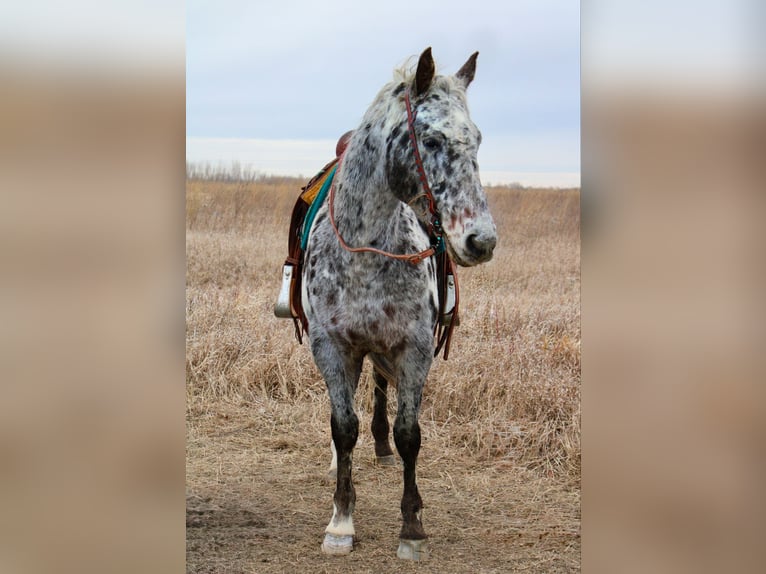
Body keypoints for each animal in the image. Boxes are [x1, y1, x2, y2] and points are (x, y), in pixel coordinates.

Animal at [300, 47, 498, 560]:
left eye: (477, 139)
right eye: (430, 138)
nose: (481, 240)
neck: (366, 251)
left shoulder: (414, 348)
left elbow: (410, 435)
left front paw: (411, 527)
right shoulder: (331, 346)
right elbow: (342, 426)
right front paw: (341, 521)